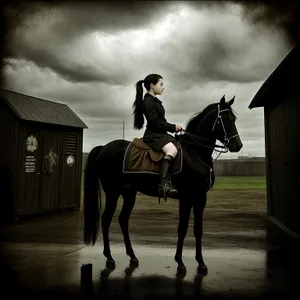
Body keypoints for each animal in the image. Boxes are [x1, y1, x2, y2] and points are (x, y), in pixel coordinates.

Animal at [83, 95, 243, 274]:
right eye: (225, 119)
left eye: (234, 119)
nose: (238, 145)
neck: (195, 153)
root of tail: (104, 147)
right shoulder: (186, 198)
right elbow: (182, 229)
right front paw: (180, 263)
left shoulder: (201, 198)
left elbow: (198, 230)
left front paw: (201, 263)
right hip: (112, 192)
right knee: (106, 220)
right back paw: (109, 258)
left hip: (129, 194)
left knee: (123, 219)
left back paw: (132, 256)